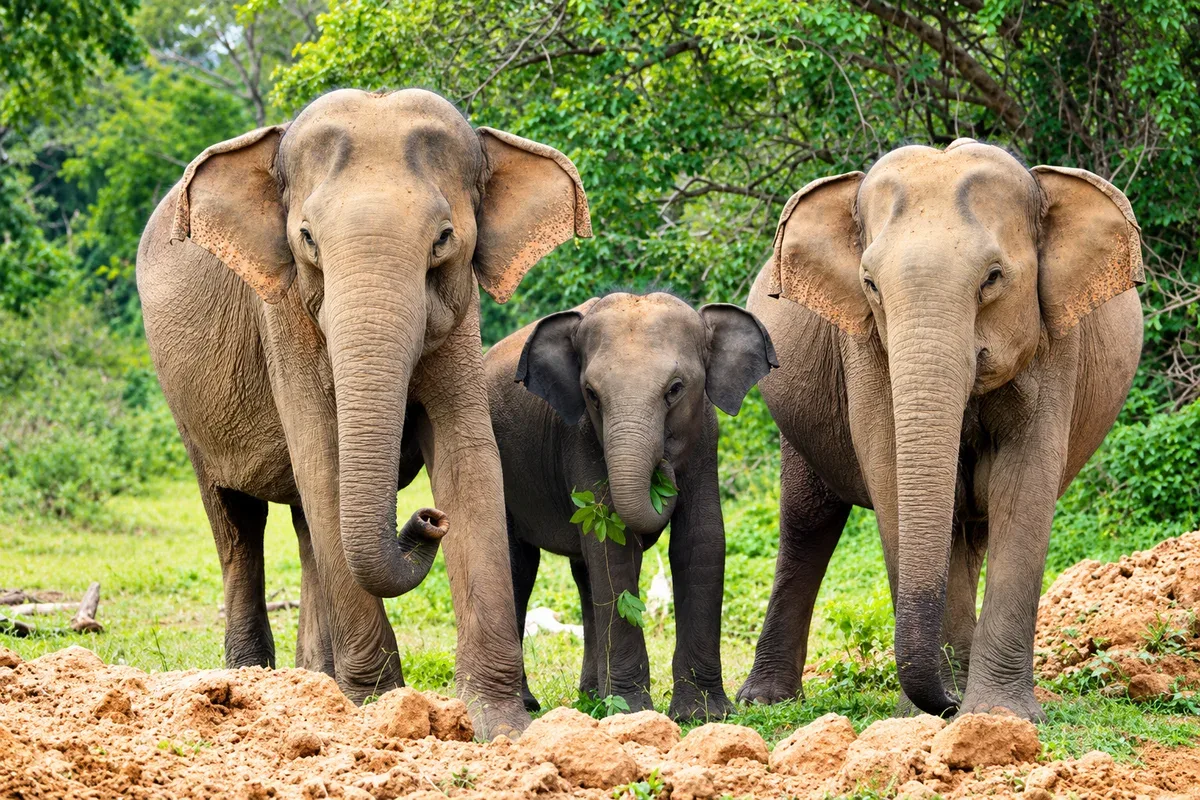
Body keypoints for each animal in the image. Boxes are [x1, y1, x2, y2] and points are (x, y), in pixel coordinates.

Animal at [136, 88, 591, 738]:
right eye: (307, 239)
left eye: (443, 239)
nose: (428, 519)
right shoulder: (284, 314)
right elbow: (321, 457)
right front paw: (380, 707)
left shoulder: (462, 314)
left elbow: (470, 460)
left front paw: (500, 727)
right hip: (187, 408)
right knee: (237, 521)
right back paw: (252, 682)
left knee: (305, 529)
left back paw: (316, 681)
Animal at [482, 292, 777, 720]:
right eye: (591, 394)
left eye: (675, 389)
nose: (664, 468)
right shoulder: (581, 438)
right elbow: (613, 543)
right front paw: (632, 713)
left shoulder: (706, 435)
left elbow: (700, 542)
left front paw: (703, 715)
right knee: (519, 565)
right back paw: (532, 703)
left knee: (584, 575)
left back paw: (591, 695)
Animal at [736, 138, 1143, 720]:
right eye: (869, 284)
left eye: (993, 277)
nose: (947, 705)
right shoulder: (864, 347)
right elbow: (891, 475)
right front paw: (924, 715)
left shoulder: (1056, 342)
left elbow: (1023, 483)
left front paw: (997, 716)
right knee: (808, 521)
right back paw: (764, 704)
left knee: (972, 529)